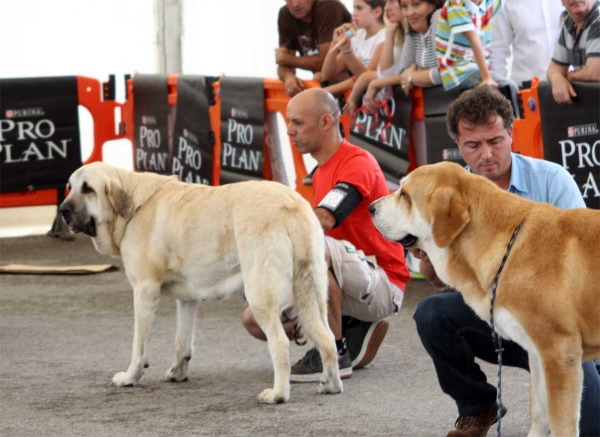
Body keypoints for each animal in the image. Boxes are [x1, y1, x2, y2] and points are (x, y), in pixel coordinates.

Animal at [61, 160, 344, 402]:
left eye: (88, 189)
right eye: (70, 186)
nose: (63, 210)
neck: (133, 209)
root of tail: (291, 205)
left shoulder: (144, 291)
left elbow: (138, 346)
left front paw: (130, 377)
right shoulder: (187, 299)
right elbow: (182, 342)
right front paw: (178, 374)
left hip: (260, 298)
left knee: (280, 344)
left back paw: (277, 395)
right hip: (314, 296)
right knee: (328, 338)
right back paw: (330, 385)